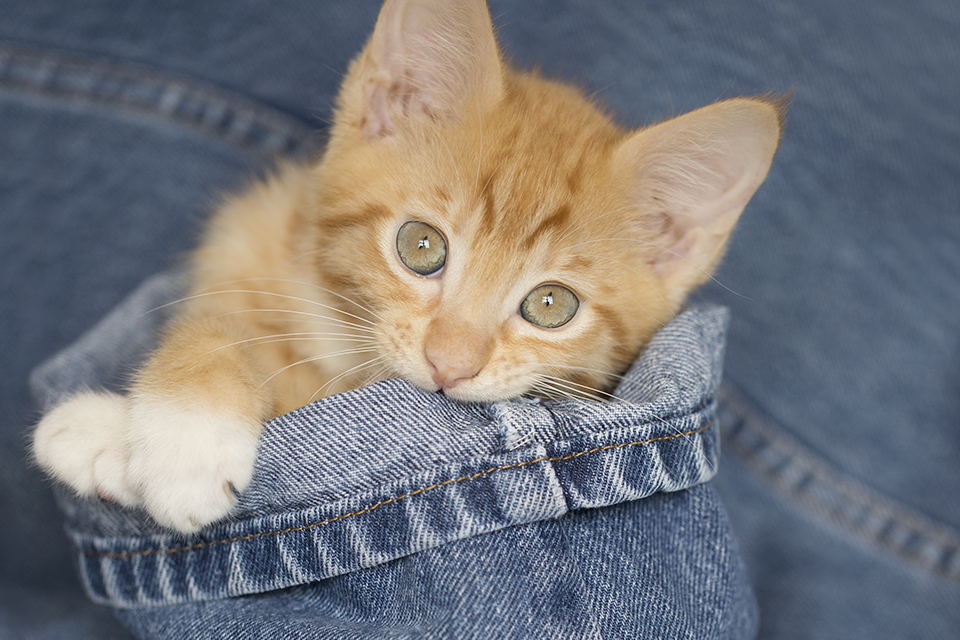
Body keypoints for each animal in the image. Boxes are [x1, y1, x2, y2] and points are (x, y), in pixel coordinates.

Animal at [31, 0, 780, 532]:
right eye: (421, 247)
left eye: (551, 306)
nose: (449, 364)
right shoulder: (247, 236)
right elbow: (216, 320)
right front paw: (173, 432)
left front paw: (141, 439)